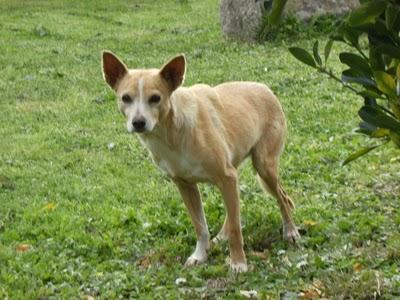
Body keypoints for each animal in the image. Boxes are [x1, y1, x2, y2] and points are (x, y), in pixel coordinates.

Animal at [101, 51, 298, 272]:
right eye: (126, 98)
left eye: (155, 98)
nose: (138, 122)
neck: (171, 136)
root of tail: (265, 88)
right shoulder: (186, 185)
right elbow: (200, 226)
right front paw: (200, 255)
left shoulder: (227, 177)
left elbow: (236, 230)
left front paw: (238, 262)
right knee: (236, 210)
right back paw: (222, 235)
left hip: (264, 166)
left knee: (281, 197)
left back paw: (290, 231)